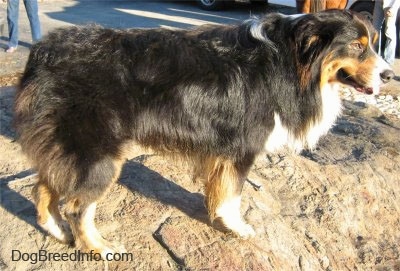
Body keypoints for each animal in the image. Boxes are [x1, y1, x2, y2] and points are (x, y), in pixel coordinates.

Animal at [13, 9, 394, 258]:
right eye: (357, 46)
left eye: (373, 43)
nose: (390, 75)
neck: (293, 60)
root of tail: (42, 51)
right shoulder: (242, 147)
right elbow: (233, 194)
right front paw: (238, 227)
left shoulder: (223, 150)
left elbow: (219, 187)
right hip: (98, 153)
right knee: (77, 204)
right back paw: (99, 247)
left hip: (67, 145)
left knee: (45, 188)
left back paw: (57, 231)